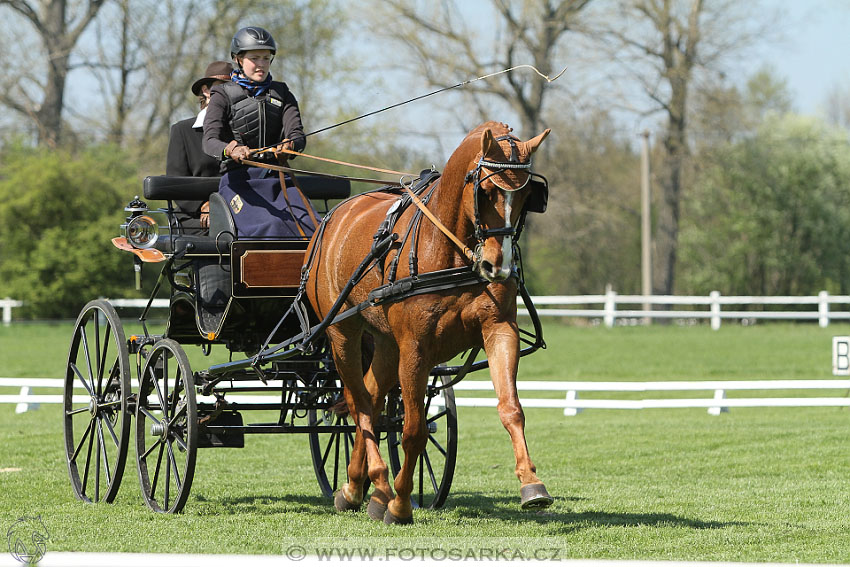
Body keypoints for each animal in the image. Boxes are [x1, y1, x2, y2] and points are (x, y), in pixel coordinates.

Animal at [304, 122, 548, 524]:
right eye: (486, 191)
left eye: (529, 194)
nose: (498, 266)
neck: (450, 250)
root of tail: (334, 215)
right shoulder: (416, 347)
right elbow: (414, 430)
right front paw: (402, 505)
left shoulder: (499, 328)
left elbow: (511, 409)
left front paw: (532, 485)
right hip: (342, 333)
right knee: (358, 405)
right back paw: (374, 487)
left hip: (387, 343)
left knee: (371, 397)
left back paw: (363, 489)